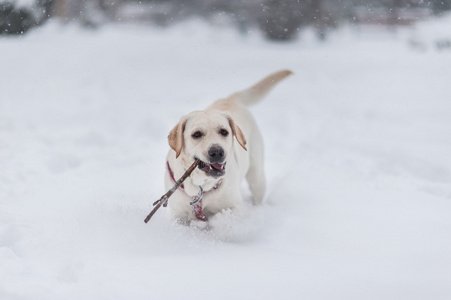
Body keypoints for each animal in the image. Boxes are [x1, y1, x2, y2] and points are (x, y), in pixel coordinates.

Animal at [166, 69, 294, 221]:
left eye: (224, 131)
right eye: (196, 134)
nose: (217, 152)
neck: (201, 188)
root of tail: (230, 99)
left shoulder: (233, 206)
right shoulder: (178, 214)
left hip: (256, 175)